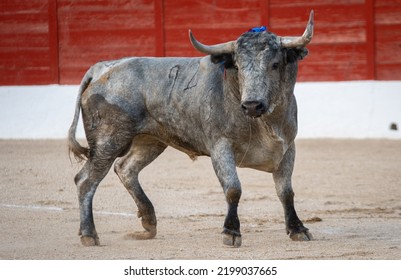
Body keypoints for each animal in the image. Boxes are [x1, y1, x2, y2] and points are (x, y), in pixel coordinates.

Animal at [68, 11, 312, 247]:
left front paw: (298, 229)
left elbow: (286, 191)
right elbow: (233, 188)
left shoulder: (288, 147)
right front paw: (231, 232)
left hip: (150, 140)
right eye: (238, 66)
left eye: (275, 64)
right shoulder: (220, 146)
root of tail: (102, 67)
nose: (252, 104)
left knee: (126, 168)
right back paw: (89, 234)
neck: (263, 121)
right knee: (86, 180)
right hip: (109, 140)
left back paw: (148, 223)